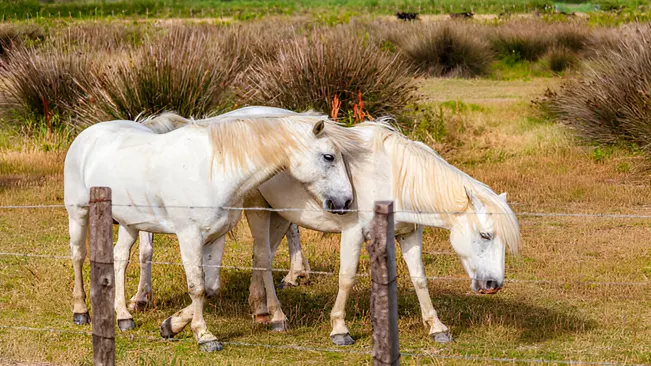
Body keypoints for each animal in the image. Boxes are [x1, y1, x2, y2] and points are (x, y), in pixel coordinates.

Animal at [63, 112, 364, 352]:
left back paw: (124, 316)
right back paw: (81, 311)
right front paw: (204, 336)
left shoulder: (216, 237)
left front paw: (172, 325)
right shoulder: (189, 237)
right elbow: (196, 286)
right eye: (329, 156)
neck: (214, 170)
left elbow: (210, 287)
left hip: (129, 224)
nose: (345, 202)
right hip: (79, 213)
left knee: (120, 259)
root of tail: (88, 135)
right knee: (78, 255)